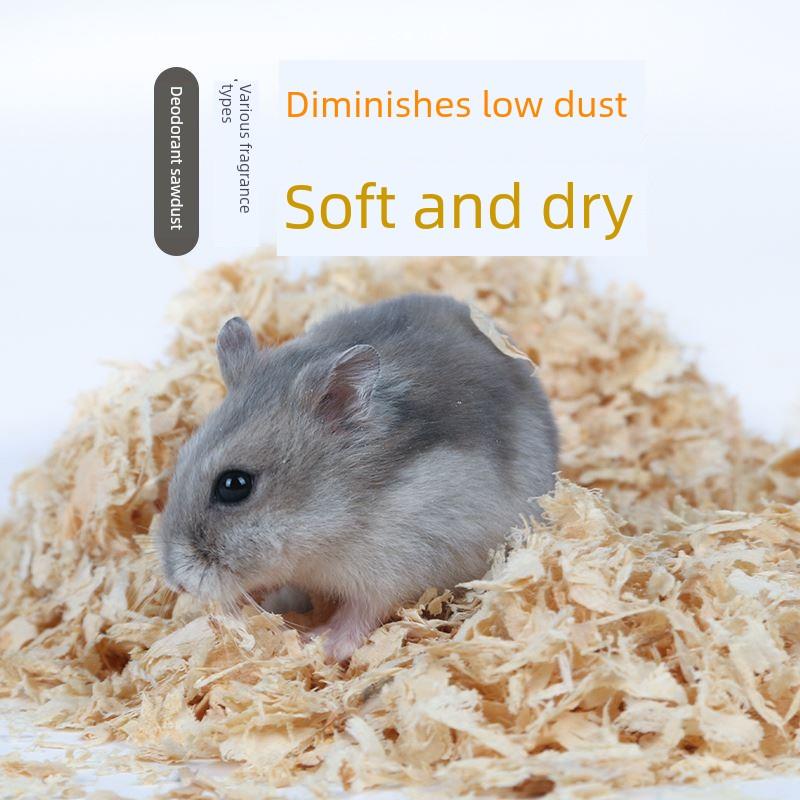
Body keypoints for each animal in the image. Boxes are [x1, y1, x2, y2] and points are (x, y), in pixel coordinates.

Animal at [157, 294, 558, 661]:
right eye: (182, 458)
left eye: (234, 485)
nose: (177, 584)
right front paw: (275, 608)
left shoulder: (399, 566)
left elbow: (361, 611)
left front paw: (319, 642)